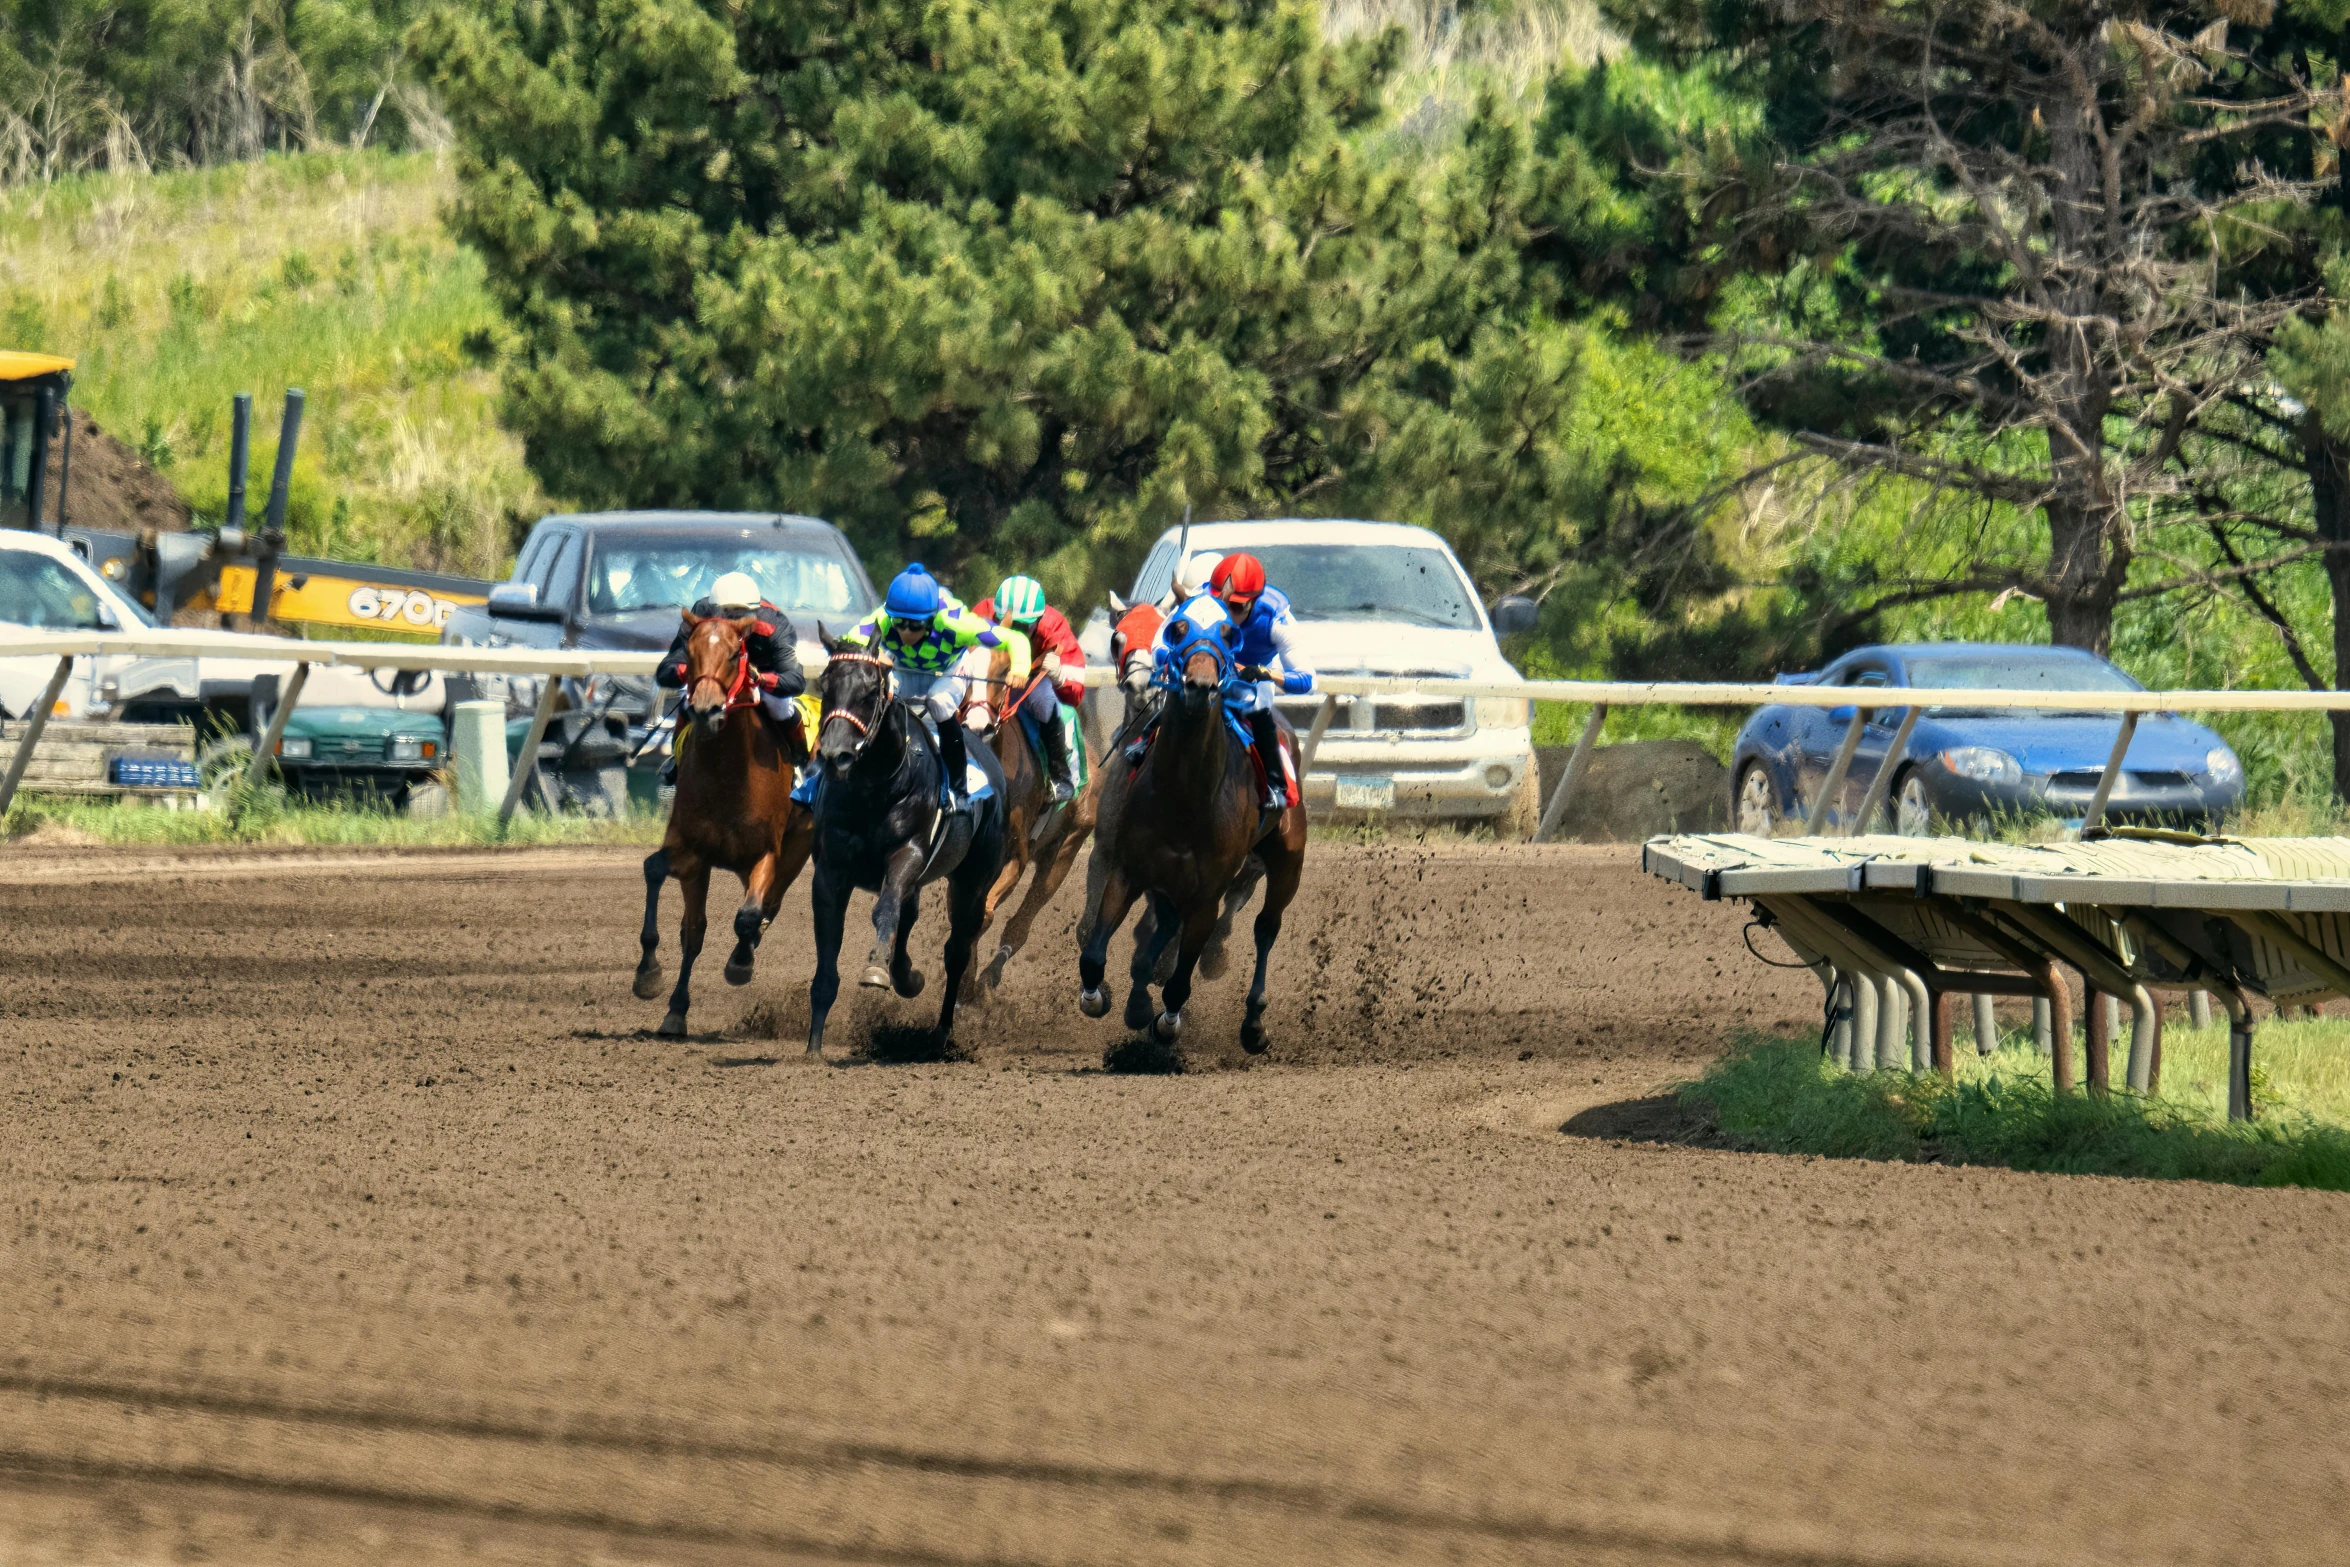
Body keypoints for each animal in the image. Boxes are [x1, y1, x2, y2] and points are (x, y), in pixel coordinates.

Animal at [634, 615, 817, 1043]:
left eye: (736, 654)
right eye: (689, 651)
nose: (705, 709)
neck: (729, 776)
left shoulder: (767, 853)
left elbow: (748, 916)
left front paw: (740, 964)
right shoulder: (692, 854)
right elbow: (683, 917)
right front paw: (654, 982)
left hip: (798, 847)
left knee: (768, 907)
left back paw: (744, 952)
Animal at [808, 629, 1010, 1061]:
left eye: (870, 692)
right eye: (825, 687)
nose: (835, 755)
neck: (874, 788)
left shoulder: (908, 855)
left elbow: (885, 909)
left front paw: (874, 970)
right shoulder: (830, 871)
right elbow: (829, 946)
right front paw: (813, 1047)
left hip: (974, 881)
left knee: (957, 952)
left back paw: (940, 1033)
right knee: (909, 917)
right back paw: (907, 977)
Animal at [949, 643, 1104, 1000]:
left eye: (1004, 672)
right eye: (963, 670)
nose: (977, 726)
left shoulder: (1016, 859)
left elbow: (985, 915)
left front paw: (965, 987)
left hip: (1064, 851)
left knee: (1019, 925)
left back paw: (988, 978)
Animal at [1076, 615, 1306, 1052]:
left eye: (1228, 638)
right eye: (1117, 638)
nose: (1200, 687)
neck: (1183, 798)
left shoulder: (1206, 897)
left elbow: (1179, 978)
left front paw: (1165, 1020)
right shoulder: (1123, 868)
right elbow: (1095, 950)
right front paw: (1103, 998)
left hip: (1286, 861)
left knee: (1266, 926)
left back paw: (1253, 1021)